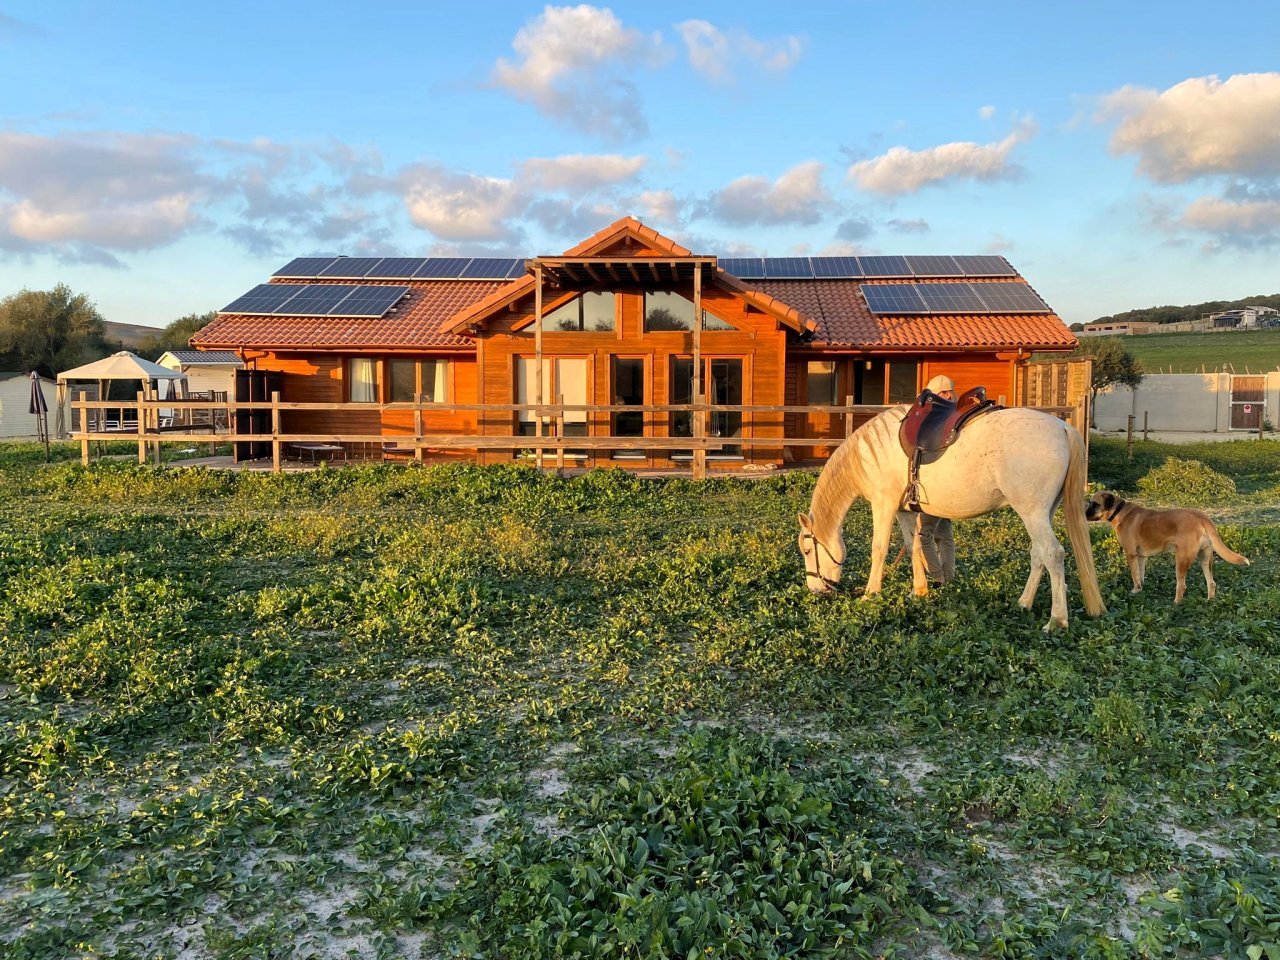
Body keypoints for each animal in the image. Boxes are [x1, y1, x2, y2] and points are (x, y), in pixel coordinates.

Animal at [793, 407, 1105, 632]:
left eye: (808, 550)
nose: (815, 591)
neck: (870, 454)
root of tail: (1063, 428)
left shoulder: (884, 505)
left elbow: (878, 549)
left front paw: (870, 594)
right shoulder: (905, 511)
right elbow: (914, 546)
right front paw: (919, 591)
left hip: (1032, 512)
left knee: (1053, 554)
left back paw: (1057, 621)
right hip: (1040, 513)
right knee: (1038, 554)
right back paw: (1023, 603)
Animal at [1085, 491, 1244, 604]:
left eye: (1095, 504)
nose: (1084, 514)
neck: (1119, 511)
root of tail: (1203, 518)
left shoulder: (1130, 554)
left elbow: (1134, 575)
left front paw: (1135, 590)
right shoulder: (1141, 557)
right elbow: (1140, 575)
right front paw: (1140, 590)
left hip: (1181, 559)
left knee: (1182, 586)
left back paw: (1176, 603)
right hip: (1205, 558)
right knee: (1212, 583)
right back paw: (1209, 600)